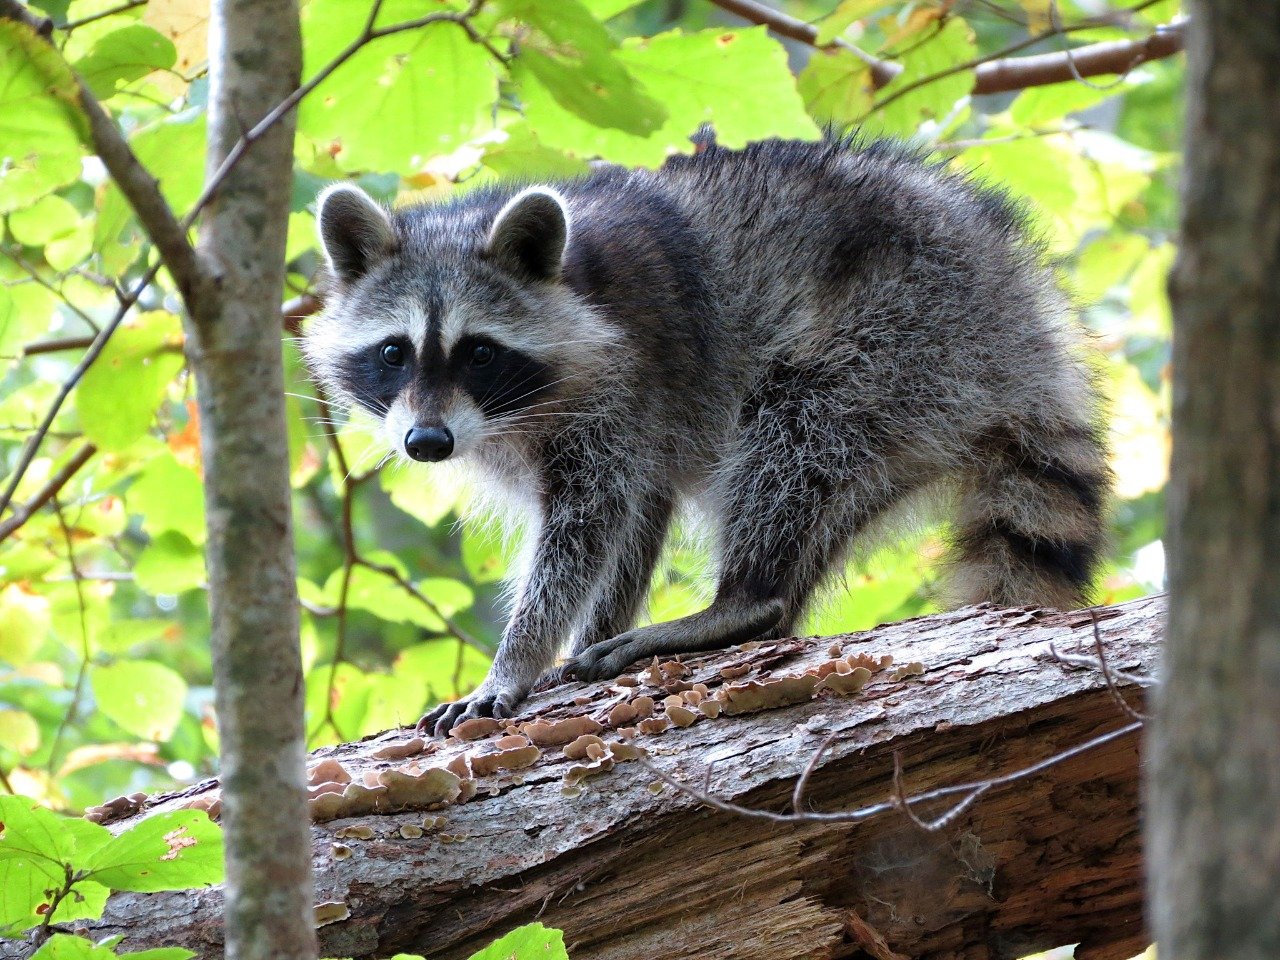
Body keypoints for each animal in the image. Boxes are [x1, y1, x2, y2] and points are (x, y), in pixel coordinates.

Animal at [302, 136, 1111, 737]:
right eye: (394, 352)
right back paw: (768, 602)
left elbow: (584, 531)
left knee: (793, 434)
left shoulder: (626, 388)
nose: (427, 443)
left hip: (902, 339)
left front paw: (518, 658)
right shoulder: (640, 429)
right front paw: (590, 629)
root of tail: (1020, 311)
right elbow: (635, 523)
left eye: (478, 352)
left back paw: (742, 600)